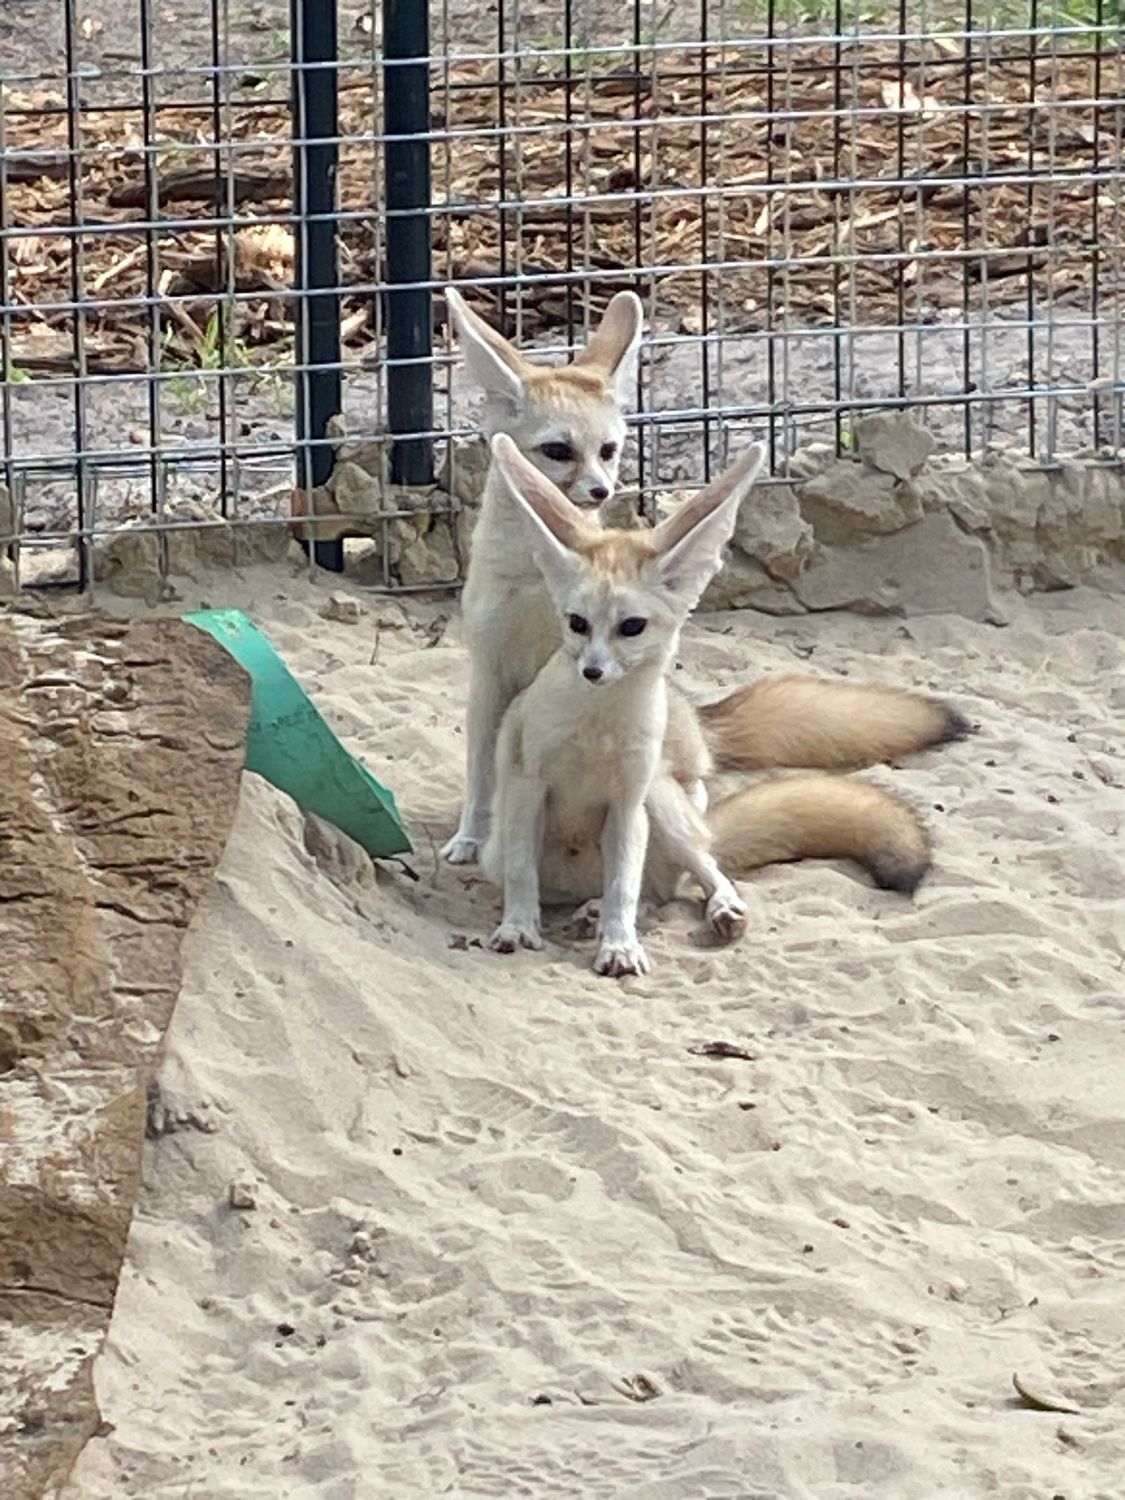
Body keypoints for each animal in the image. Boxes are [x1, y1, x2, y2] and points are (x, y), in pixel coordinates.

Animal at [440, 287, 970, 867]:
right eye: (559, 451)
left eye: (608, 450)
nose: (602, 491)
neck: (528, 579)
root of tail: (698, 719)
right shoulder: (490, 674)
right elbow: (481, 772)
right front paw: (470, 837)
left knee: (695, 794)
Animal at [480, 435, 942, 978]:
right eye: (576, 623)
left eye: (631, 627)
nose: (592, 672)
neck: (596, 730)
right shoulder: (527, 785)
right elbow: (521, 872)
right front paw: (517, 926)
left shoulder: (628, 800)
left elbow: (623, 887)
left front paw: (619, 943)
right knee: (648, 890)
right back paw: (587, 911)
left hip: (661, 802)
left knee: (688, 874)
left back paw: (701, 908)